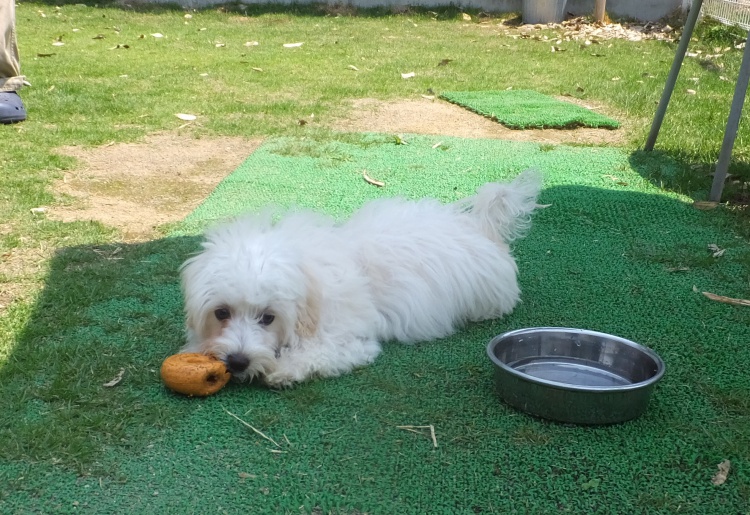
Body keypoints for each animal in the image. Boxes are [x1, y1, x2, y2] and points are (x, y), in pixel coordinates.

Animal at [179, 169, 542, 387]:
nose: (237, 361)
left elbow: (319, 355)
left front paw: (281, 369)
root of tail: (479, 225)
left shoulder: (348, 341)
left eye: (268, 318)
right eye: (221, 313)